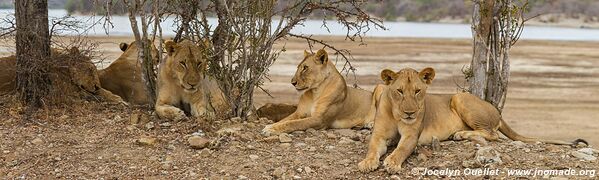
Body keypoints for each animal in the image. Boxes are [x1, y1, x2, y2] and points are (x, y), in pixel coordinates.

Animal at [358, 67, 588, 173]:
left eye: (417, 91)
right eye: (399, 91)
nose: (410, 113)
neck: (397, 114)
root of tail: (497, 110)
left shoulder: (411, 136)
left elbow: (401, 149)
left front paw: (392, 162)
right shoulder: (379, 135)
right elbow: (372, 149)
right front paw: (367, 163)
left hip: (460, 98)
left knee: (493, 135)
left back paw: (460, 134)